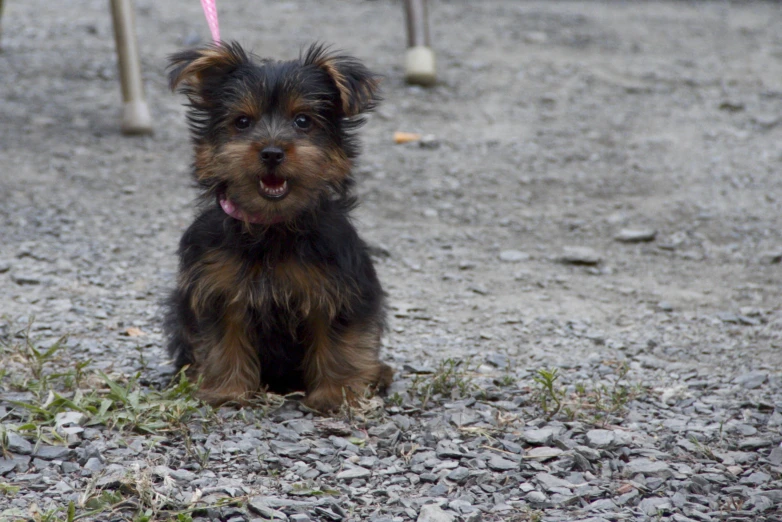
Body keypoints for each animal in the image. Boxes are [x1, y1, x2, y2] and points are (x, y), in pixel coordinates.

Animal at [166, 41, 396, 410]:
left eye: (303, 121)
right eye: (242, 122)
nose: (272, 152)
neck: (272, 225)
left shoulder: (337, 289)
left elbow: (339, 342)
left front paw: (335, 393)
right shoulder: (219, 288)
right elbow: (223, 341)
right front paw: (226, 390)